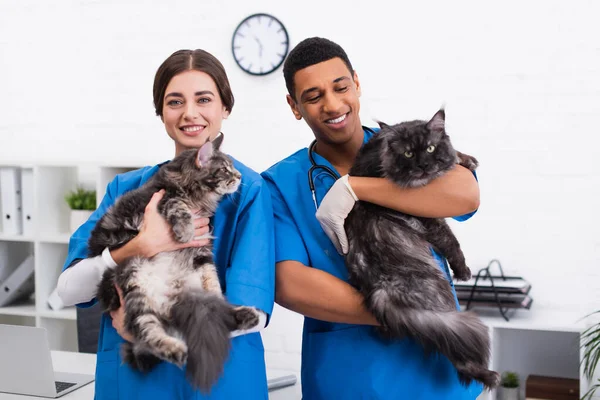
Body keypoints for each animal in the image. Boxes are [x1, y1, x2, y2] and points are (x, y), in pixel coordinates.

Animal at [88, 136, 262, 392]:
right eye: (224, 169)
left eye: (233, 167)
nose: (239, 176)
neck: (197, 196)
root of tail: (171, 300)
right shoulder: (162, 197)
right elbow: (177, 205)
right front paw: (184, 231)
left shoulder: (203, 254)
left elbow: (215, 288)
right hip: (136, 287)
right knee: (147, 333)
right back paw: (176, 350)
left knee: (214, 313)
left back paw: (246, 314)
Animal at [344, 108, 500, 388]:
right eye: (408, 154)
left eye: (429, 148)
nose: (423, 167)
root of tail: (379, 287)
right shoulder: (429, 217)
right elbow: (451, 241)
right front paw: (463, 271)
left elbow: (453, 153)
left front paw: (466, 159)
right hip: (437, 291)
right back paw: (488, 375)